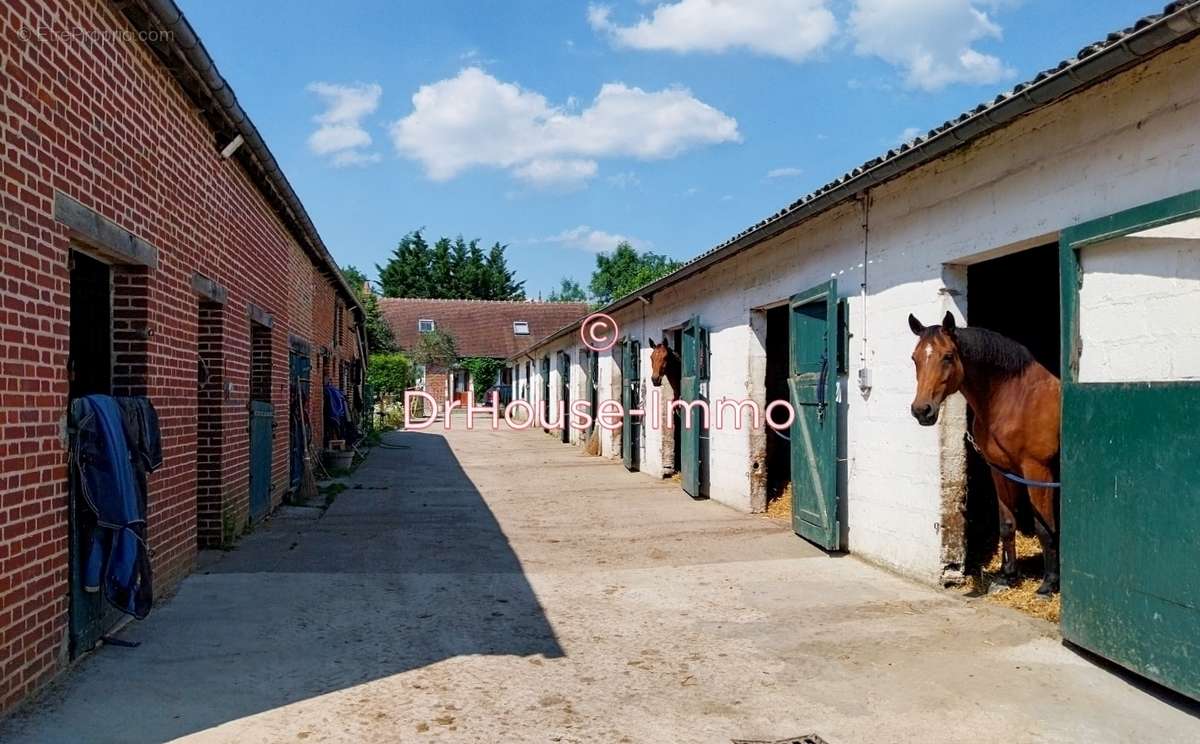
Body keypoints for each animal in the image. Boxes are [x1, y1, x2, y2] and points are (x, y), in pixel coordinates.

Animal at [907, 312, 1060, 595]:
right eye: (915, 357)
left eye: (948, 356)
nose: (922, 410)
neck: (1015, 399)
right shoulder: (1001, 471)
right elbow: (1007, 524)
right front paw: (1007, 577)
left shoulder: (1038, 472)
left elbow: (1044, 527)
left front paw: (1048, 584)